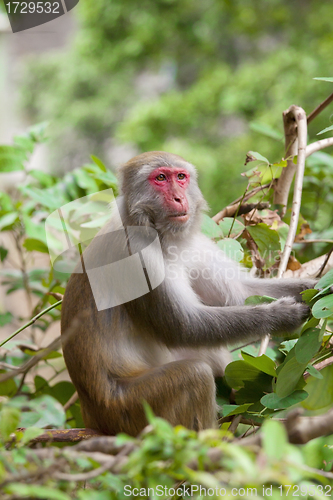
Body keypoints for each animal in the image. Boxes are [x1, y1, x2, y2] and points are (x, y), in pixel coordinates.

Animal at [60, 150, 314, 436]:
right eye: (160, 178)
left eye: (180, 177)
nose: (179, 198)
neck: (157, 232)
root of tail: (91, 416)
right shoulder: (136, 251)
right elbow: (183, 326)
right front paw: (282, 316)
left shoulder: (192, 243)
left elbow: (241, 292)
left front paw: (316, 286)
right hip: (127, 411)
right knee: (195, 375)